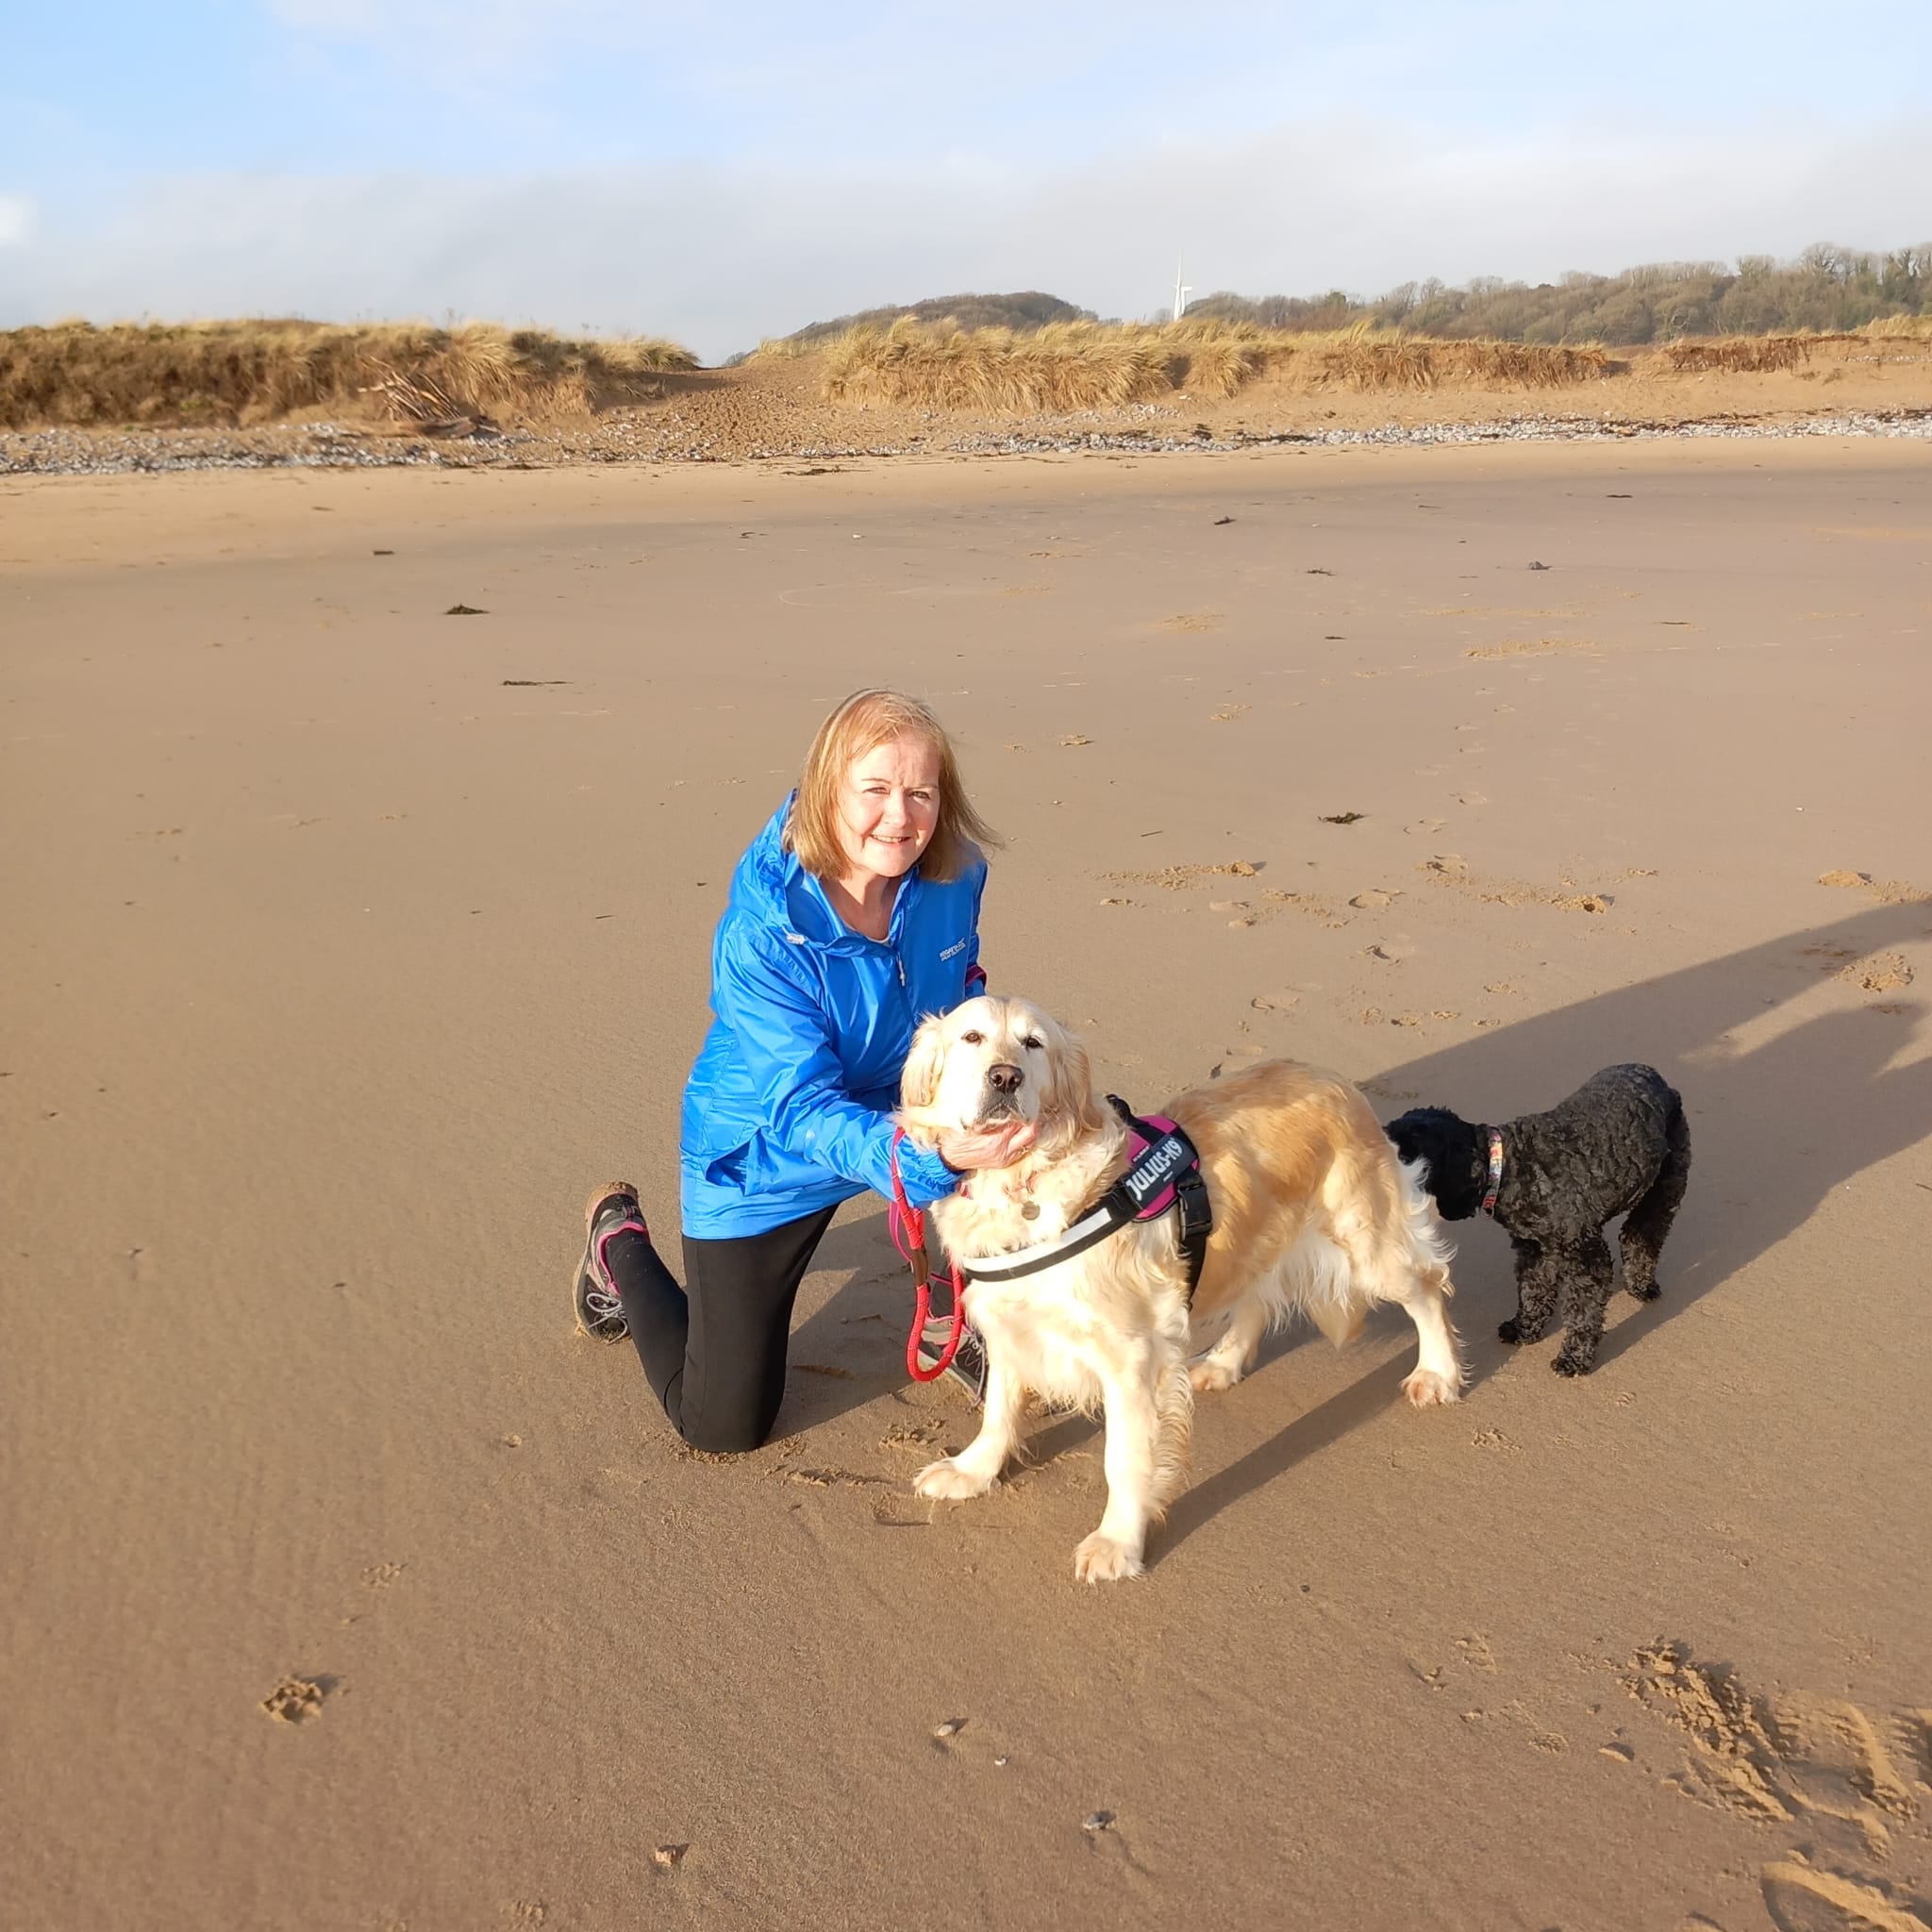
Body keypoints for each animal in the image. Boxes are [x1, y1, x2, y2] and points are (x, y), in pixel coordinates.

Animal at [896, 996, 1453, 1584]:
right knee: (1256, 1298)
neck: (1021, 1184)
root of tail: (1335, 1078)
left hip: (1366, 1239)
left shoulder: (1131, 1356)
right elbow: (997, 1413)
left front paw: (1117, 1543)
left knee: (1427, 1287)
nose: (1005, 1077)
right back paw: (1223, 1363)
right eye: (972, 1038)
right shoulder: (1010, 1325)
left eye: (1033, 1043)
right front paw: (971, 1471)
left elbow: (1124, 1459)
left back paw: (1437, 1373)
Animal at [1391, 1074, 1692, 1375]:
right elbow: (1533, 1291)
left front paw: (1574, 1357)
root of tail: (1660, 1081)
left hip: (1662, 1193)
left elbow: (1583, 1312)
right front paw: (1524, 1328)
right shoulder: (1534, 1249)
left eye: (1404, 1156)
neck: (1507, 1167)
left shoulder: (1586, 1256)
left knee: (1641, 1237)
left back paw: (1641, 1285)